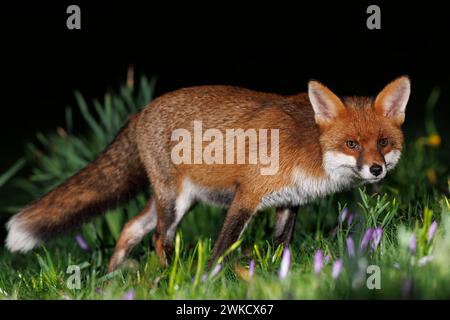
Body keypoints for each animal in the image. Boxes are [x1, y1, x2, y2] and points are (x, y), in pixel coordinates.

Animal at [5, 76, 410, 272]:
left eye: (383, 143)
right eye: (352, 144)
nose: (376, 169)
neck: (310, 147)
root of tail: (139, 112)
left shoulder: (290, 202)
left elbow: (282, 246)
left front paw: (285, 273)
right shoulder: (247, 194)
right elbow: (222, 246)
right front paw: (210, 279)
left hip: (178, 200)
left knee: (130, 228)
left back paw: (110, 278)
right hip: (174, 201)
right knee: (159, 239)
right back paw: (169, 277)